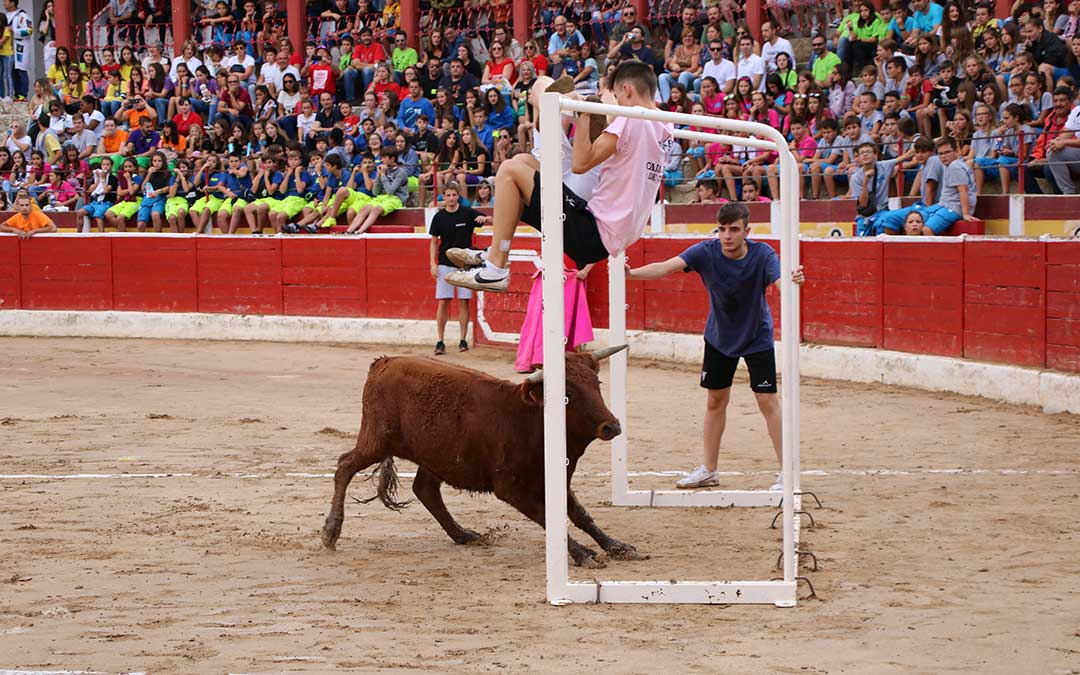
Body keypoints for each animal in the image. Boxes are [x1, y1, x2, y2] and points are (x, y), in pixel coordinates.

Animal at [320, 346, 642, 568]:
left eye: (596, 384)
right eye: (569, 394)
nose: (612, 426)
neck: (530, 422)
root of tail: (383, 362)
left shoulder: (557, 480)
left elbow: (580, 514)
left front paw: (616, 545)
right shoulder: (511, 489)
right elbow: (546, 517)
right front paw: (584, 553)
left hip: (433, 454)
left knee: (425, 490)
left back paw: (462, 534)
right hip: (375, 441)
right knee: (344, 466)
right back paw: (330, 532)